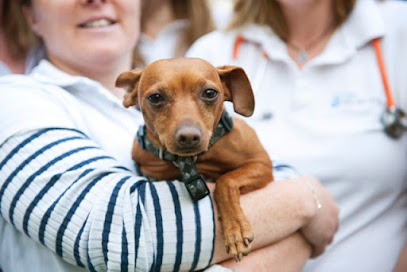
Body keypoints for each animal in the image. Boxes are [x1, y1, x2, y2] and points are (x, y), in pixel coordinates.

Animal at [115, 57, 274, 262]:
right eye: (156, 97)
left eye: (210, 93)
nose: (189, 136)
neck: (191, 161)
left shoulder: (261, 163)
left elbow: (226, 181)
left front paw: (236, 228)